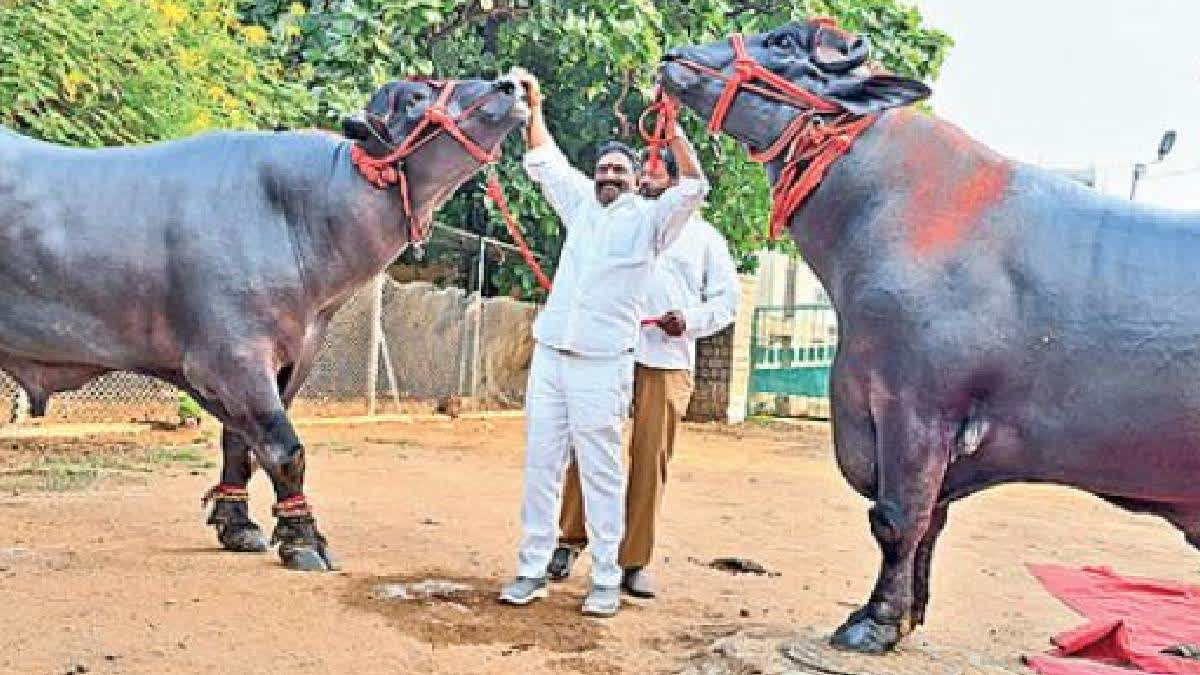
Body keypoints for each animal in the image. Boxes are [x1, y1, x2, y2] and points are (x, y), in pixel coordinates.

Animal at [1, 74, 525, 566]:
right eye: (414, 98)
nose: (511, 85)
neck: (300, 218)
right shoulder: (233, 358)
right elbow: (284, 450)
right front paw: (303, 538)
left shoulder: (291, 359)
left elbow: (240, 445)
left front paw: (237, 525)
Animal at [662, 19, 1200, 653]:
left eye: (786, 44)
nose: (674, 56)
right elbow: (930, 523)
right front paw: (908, 616)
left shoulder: (917, 409)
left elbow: (898, 520)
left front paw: (872, 623)